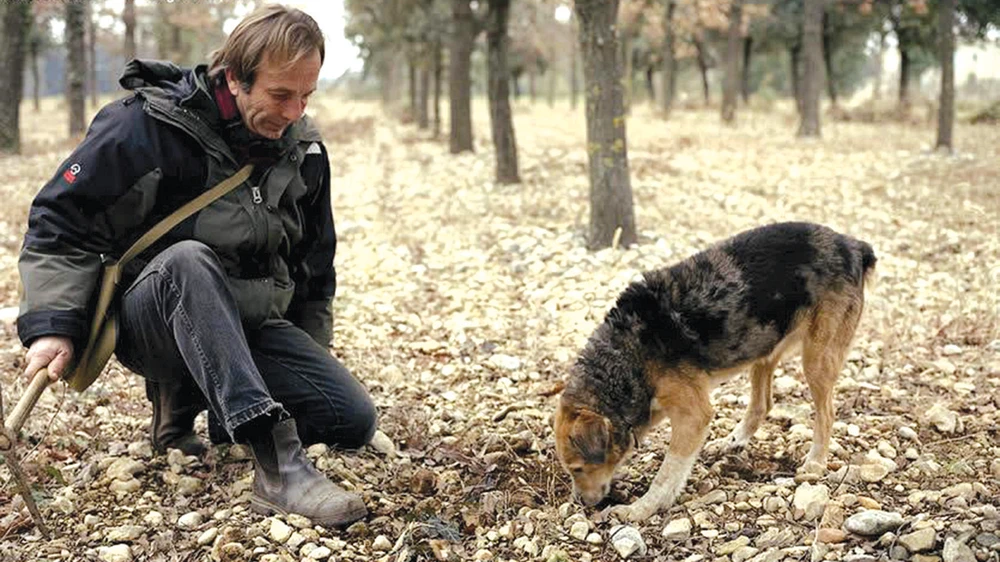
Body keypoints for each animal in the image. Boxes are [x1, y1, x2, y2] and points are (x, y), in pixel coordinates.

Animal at [556, 221, 876, 520]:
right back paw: (732, 442)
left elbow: (667, 473)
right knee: (762, 405)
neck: (625, 355)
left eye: (578, 468)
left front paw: (641, 509)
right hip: (762, 346)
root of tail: (853, 245)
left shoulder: (692, 415)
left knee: (826, 413)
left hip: (816, 359)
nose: (580, 504)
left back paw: (815, 463)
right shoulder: (655, 406)